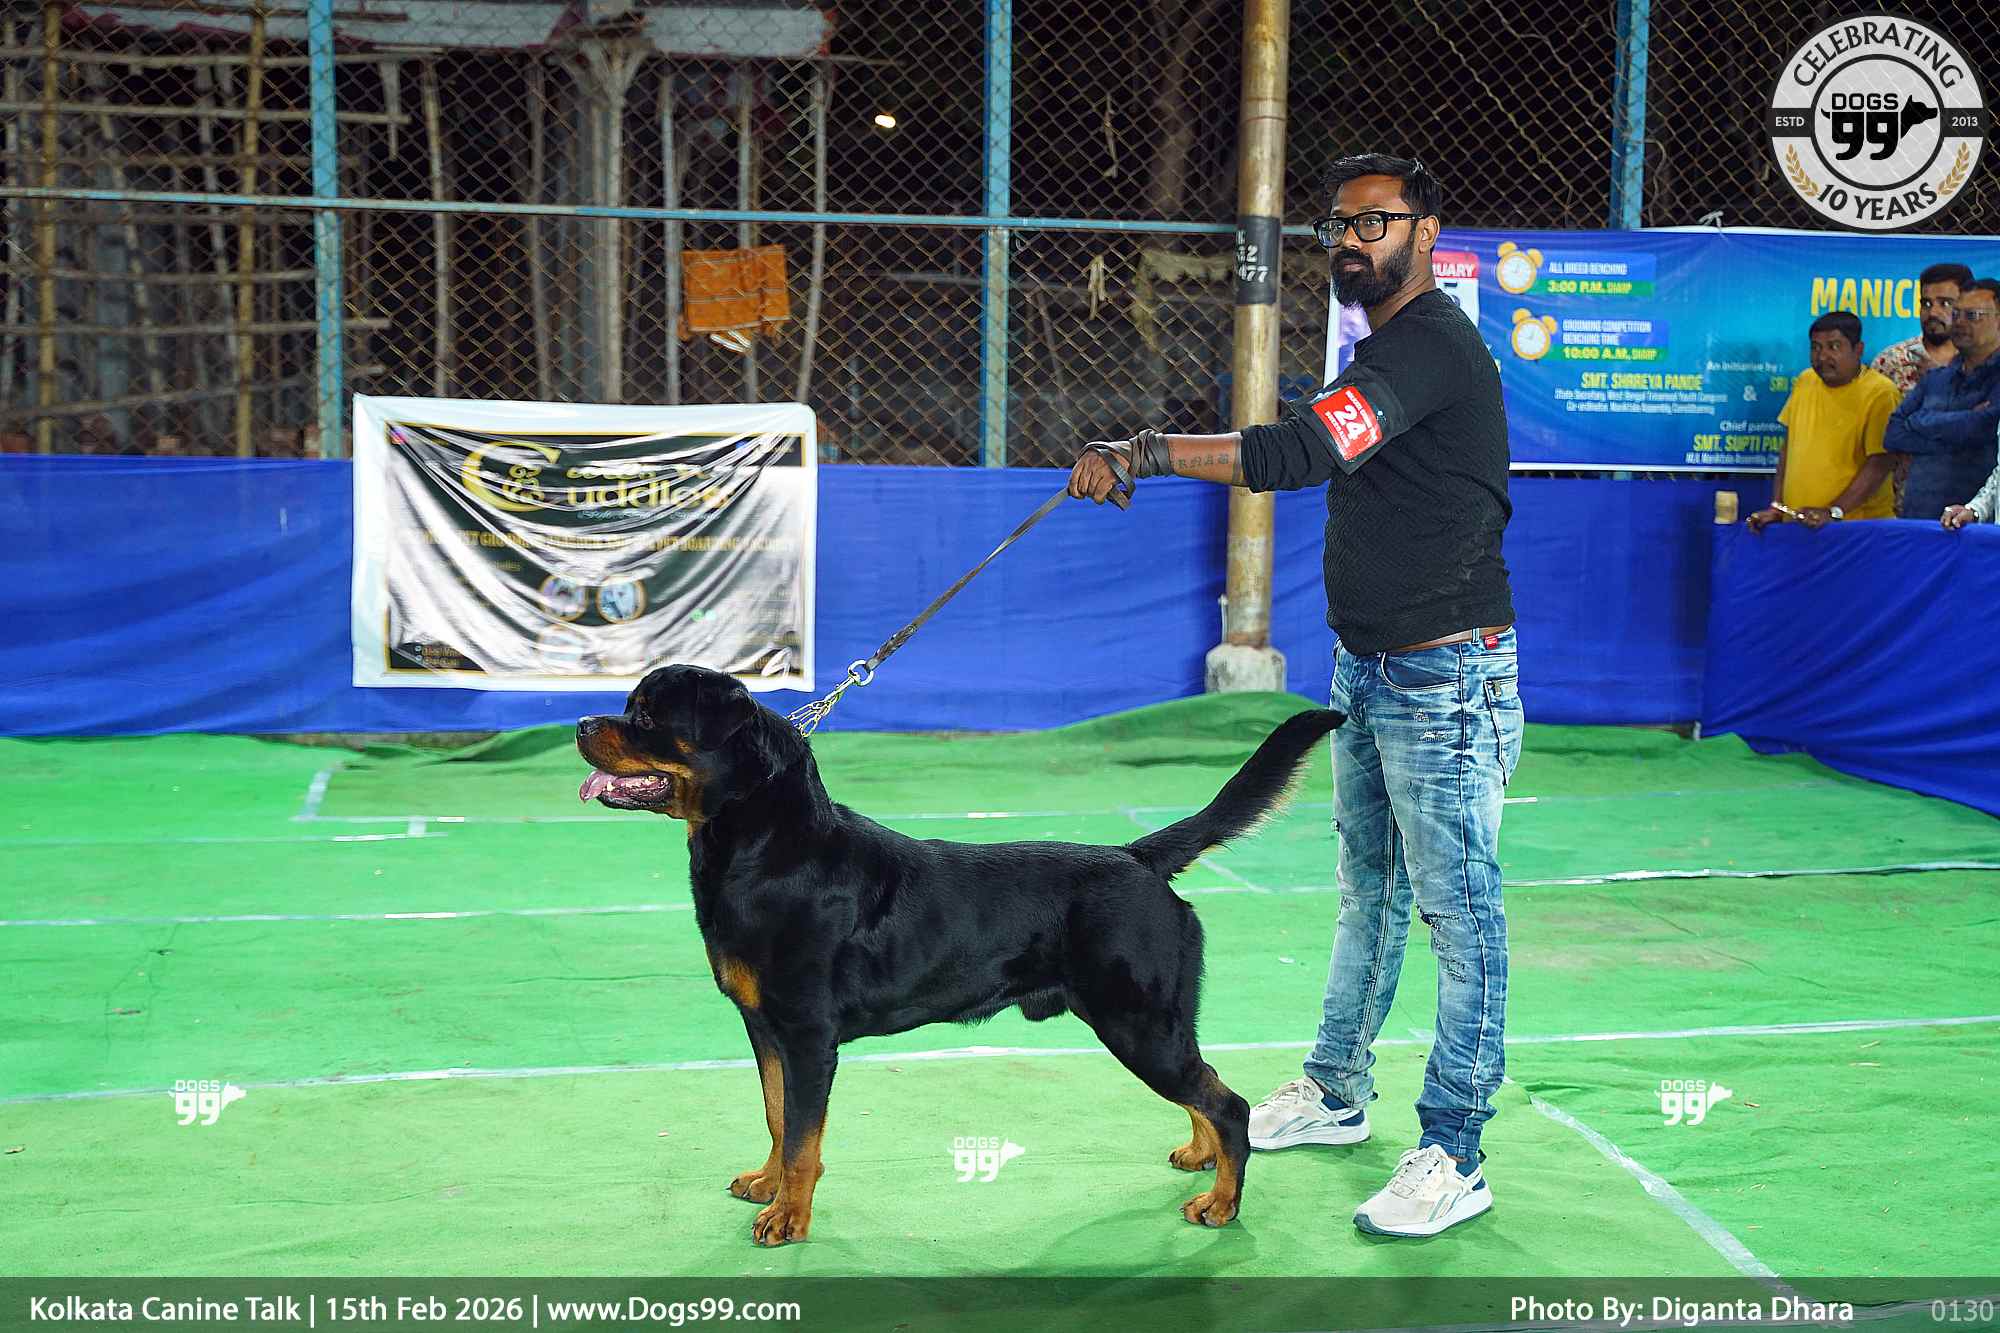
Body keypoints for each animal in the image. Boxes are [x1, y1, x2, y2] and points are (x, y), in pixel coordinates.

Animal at [576, 664, 1343, 1246]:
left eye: (646, 716)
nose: (582, 725)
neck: (767, 847)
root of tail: (1137, 857)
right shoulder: (764, 1026)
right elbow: (777, 1113)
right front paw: (768, 1183)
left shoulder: (809, 1035)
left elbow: (803, 1135)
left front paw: (789, 1216)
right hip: (1157, 1021)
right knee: (1205, 1085)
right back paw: (1201, 1158)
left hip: (1138, 1023)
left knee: (1230, 1102)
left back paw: (1223, 1203)